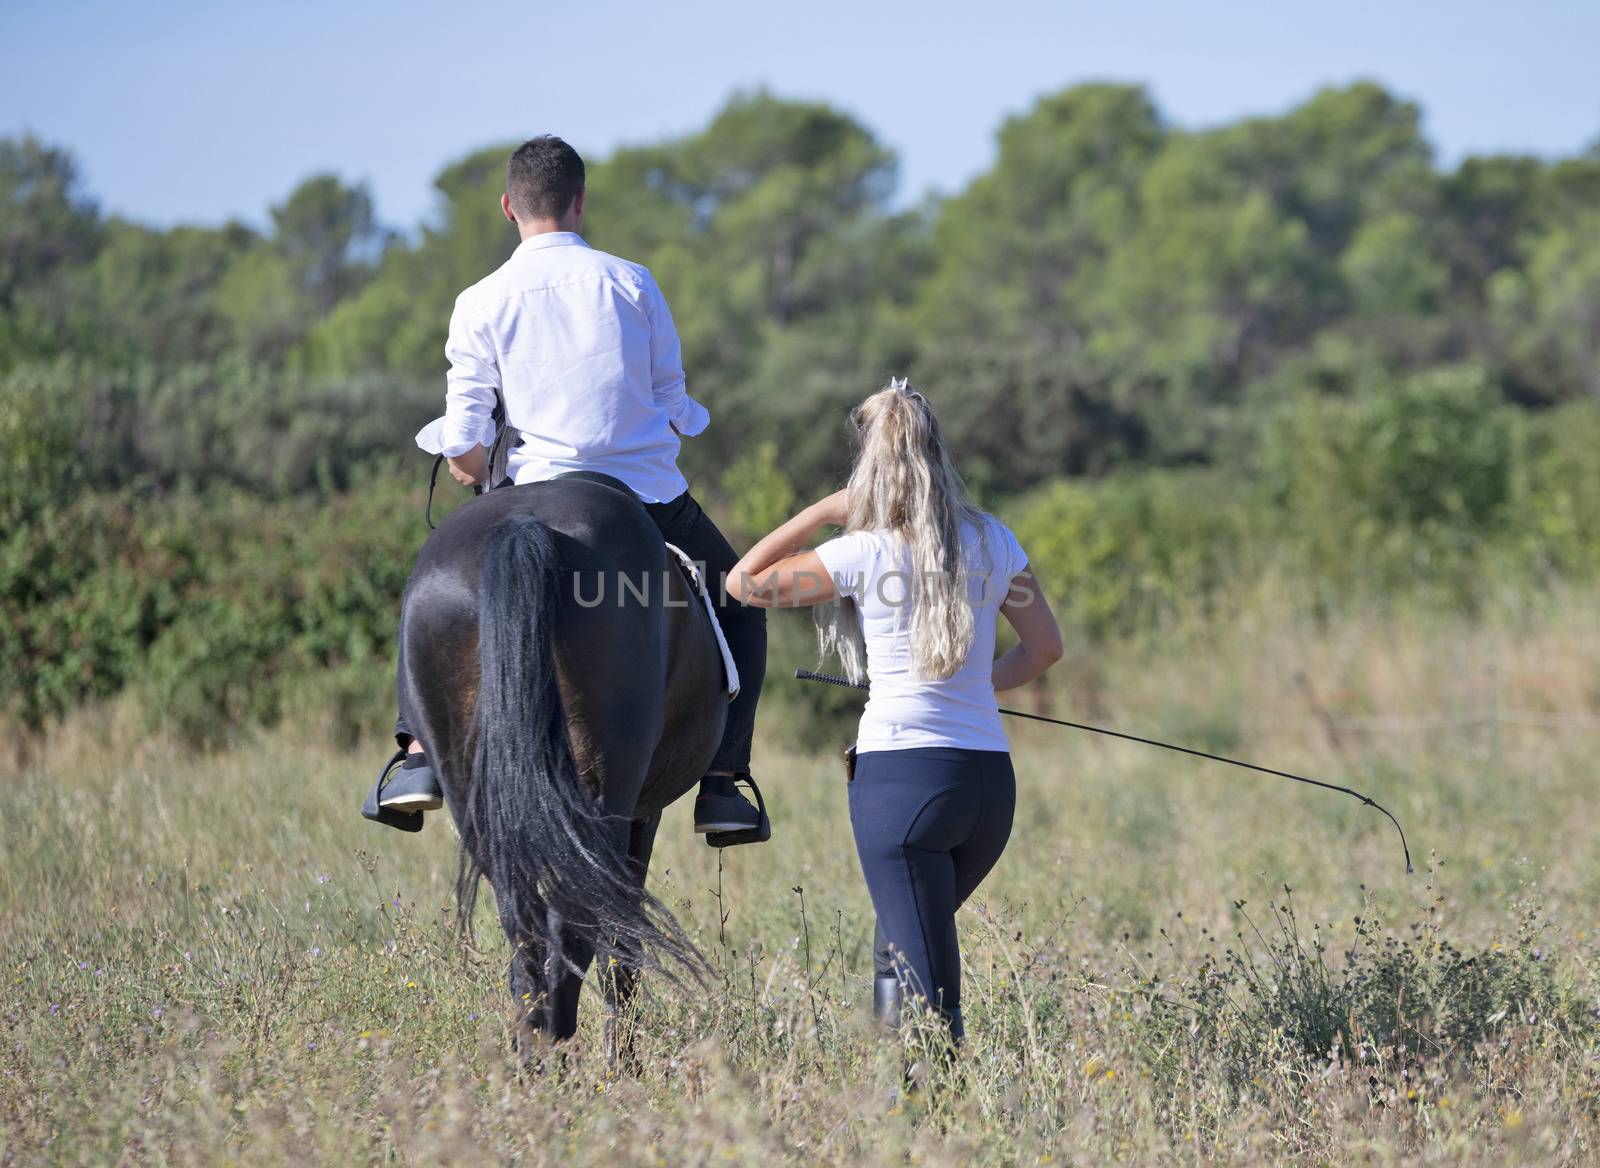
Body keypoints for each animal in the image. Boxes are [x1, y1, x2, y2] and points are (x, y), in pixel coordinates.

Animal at [400, 470, 726, 1056]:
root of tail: (524, 527)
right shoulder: (640, 813)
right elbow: (623, 948)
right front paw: (622, 1063)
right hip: (602, 796)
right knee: (578, 934)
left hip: (477, 803)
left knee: (526, 937)